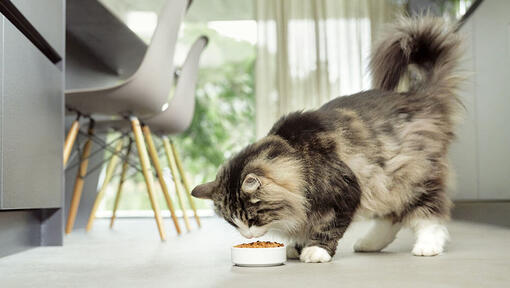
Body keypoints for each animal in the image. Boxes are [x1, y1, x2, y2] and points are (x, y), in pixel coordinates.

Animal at [190, 16, 462, 264]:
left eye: (251, 215)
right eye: (232, 222)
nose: (247, 236)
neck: (298, 158)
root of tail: (420, 98)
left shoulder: (345, 191)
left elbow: (327, 227)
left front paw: (315, 251)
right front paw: (297, 246)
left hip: (416, 178)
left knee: (430, 215)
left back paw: (427, 246)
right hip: (387, 183)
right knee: (392, 218)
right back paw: (369, 244)